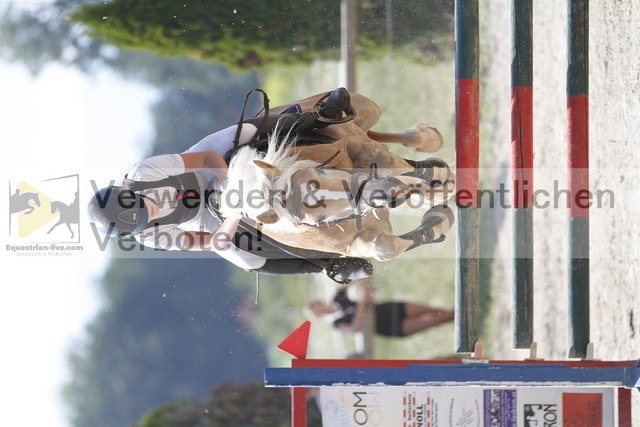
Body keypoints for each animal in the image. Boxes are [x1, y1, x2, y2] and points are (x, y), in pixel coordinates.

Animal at [220, 91, 455, 262]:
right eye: (318, 221)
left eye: (320, 170)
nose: (385, 195)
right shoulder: (356, 244)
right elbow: (385, 247)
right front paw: (438, 219)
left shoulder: (355, 146)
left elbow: (387, 165)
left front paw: (440, 177)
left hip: (365, 109)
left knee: (390, 136)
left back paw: (428, 142)